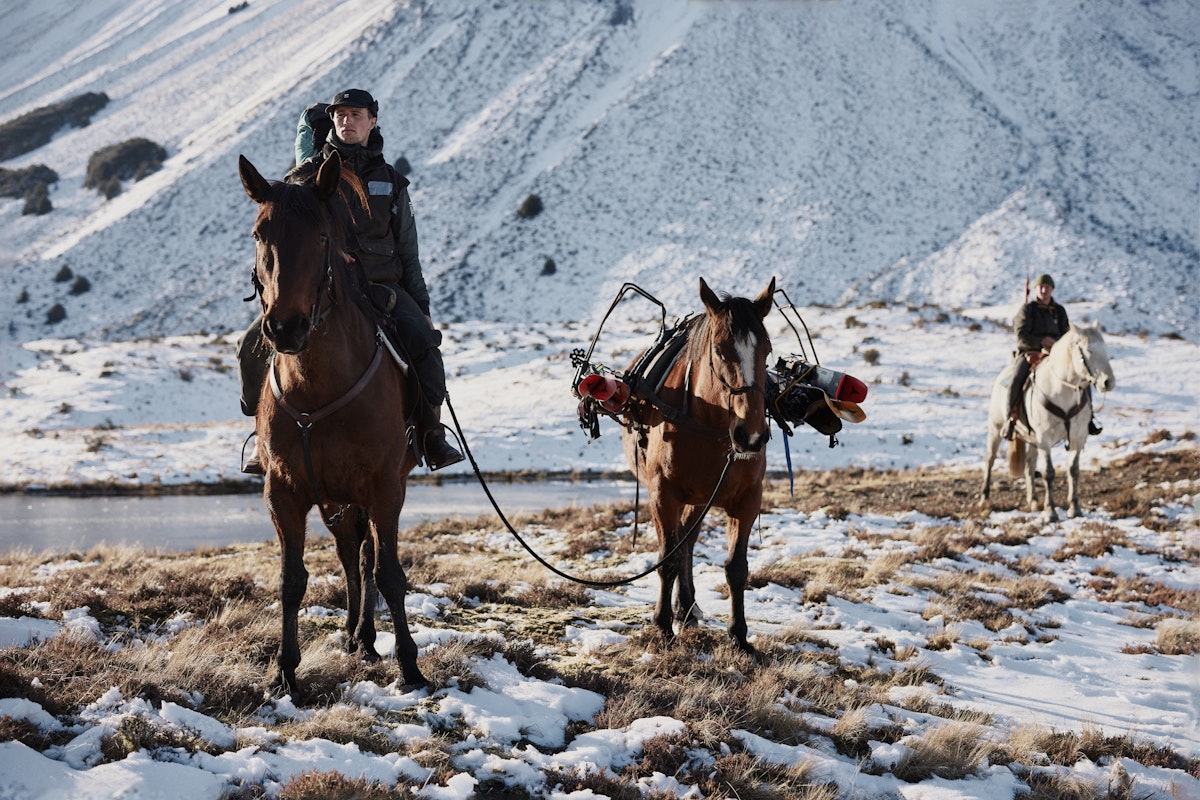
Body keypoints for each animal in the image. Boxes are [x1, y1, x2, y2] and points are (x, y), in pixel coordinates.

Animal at [238, 151, 427, 697]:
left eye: (322, 236)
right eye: (259, 233)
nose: (285, 327)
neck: (319, 386)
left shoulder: (385, 487)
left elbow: (389, 573)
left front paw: (410, 666)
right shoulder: (283, 492)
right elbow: (291, 580)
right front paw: (284, 671)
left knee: (364, 558)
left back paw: (367, 639)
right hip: (336, 500)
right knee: (350, 554)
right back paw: (353, 634)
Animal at [620, 276, 775, 653]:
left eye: (767, 351)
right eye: (719, 350)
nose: (751, 435)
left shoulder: (747, 500)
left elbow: (736, 568)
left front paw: (739, 635)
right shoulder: (663, 496)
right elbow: (668, 558)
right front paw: (662, 626)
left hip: (702, 500)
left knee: (688, 542)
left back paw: (688, 608)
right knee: (680, 545)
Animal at [981, 322, 1115, 522]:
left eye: (1105, 349)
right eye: (1088, 351)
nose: (1109, 382)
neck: (1061, 391)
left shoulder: (1077, 438)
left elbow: (1073, 470)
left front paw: (1074, 508)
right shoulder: (1045, 439)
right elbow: (1049, 473)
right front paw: (1051, 511)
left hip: (1032, 440)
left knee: (1029, 465)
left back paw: (1033, 501)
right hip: (995, 429)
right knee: (990, 459)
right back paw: (984, 498)